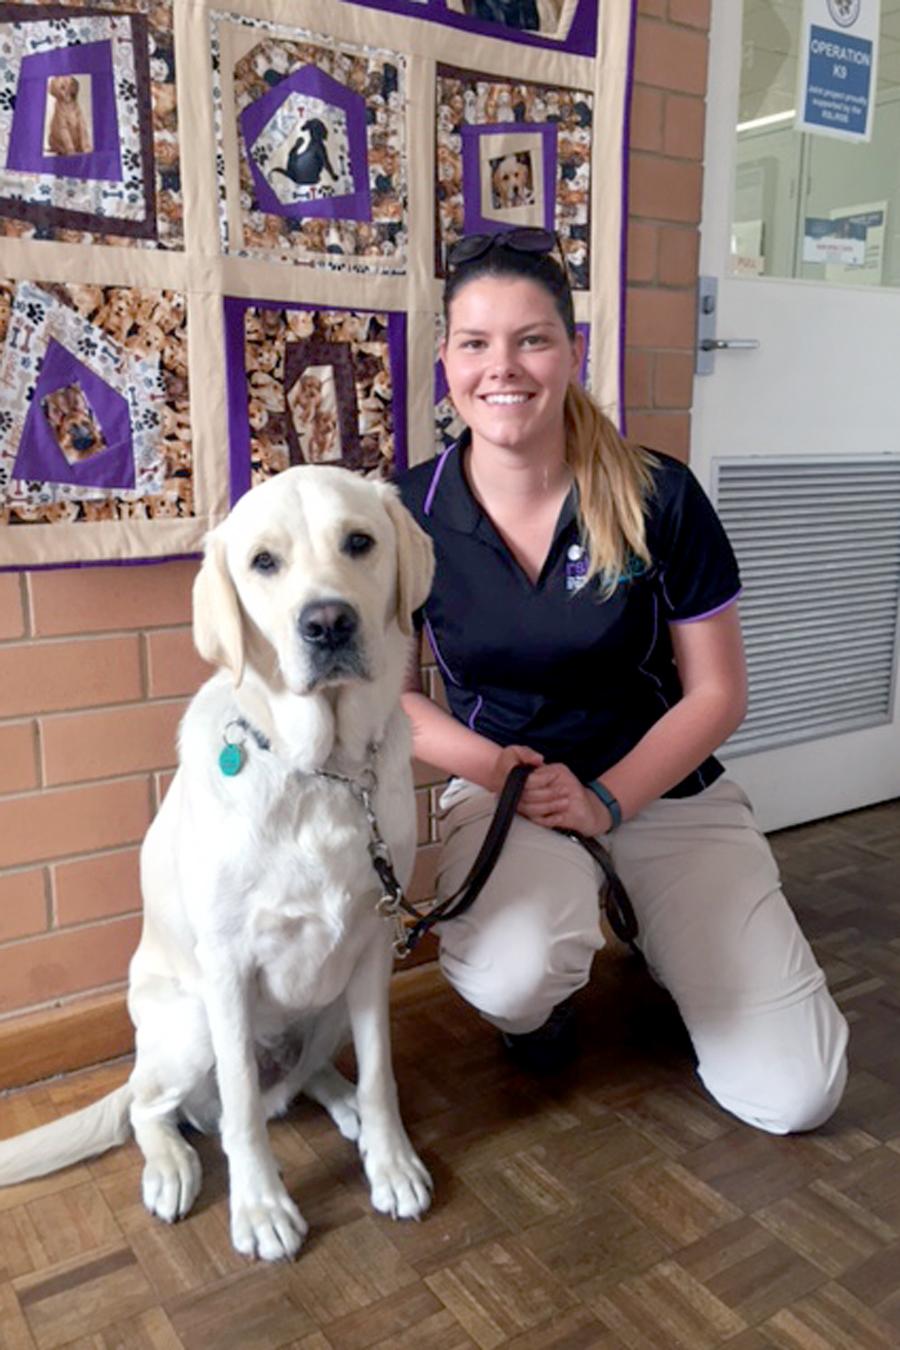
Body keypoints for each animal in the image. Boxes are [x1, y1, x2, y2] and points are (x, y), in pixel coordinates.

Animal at [0, 469, 437, 1258]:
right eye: (264, 562)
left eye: (360, 542)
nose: (328, 622)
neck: (319, 772)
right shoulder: (228, 969)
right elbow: (240, 1109)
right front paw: (261, 1209)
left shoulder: (372, 949)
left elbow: (380, 1072)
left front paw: (391, 1163)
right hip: (191, 1020)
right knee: (159, 1109)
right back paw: (172, 1167)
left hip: (327, 1004)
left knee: (303, 1078)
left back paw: (345, 1108)